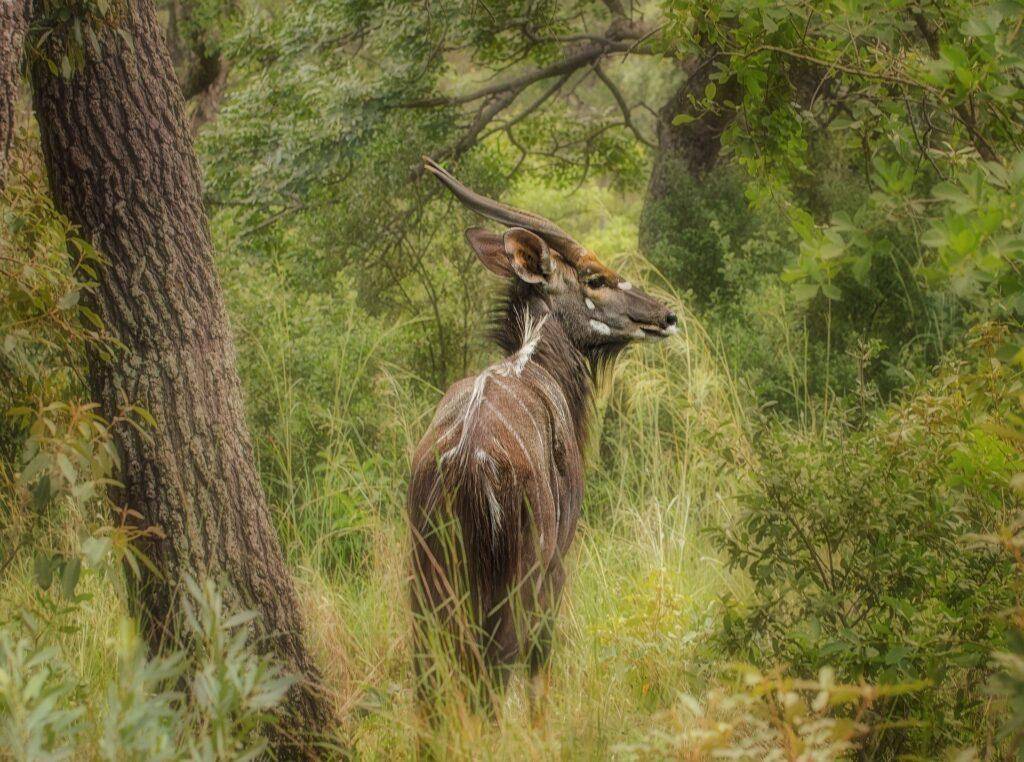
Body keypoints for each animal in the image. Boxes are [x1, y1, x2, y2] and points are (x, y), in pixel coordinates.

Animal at [407, 157, 679, 716]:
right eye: (596, 278)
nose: (667, 314)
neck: (535, 362)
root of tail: (467, 466)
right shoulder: (556, 563)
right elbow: (539, 670)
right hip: (515, 581)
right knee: (495, 674)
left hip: (428, 585)